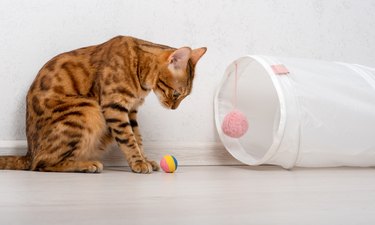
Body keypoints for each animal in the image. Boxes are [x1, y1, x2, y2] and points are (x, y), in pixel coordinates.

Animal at [0, 36, 207, 174]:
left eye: (184, 96)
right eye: (176, 94)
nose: (174, 108)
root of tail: (29, 153)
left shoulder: (131, 110)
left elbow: (138, 137)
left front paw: (145, 159)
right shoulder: (114, 106)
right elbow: (128, 139)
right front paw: (139, 163)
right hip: (88, 109)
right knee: (42, 164)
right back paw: (86, 165)